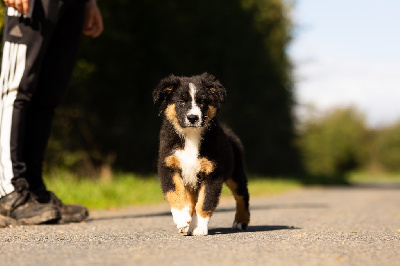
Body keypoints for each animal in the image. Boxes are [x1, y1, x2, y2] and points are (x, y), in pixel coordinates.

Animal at [153, 72, 250, 235]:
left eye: (203, 101)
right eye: (181, 101)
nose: (193, 118)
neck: (191, 136)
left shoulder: (213, 172)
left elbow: (205, 202)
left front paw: (199, 227)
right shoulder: (168, 165)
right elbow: (175, 193)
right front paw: (182, 219)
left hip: (235, 172)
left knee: (242, 195)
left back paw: (240, 221)